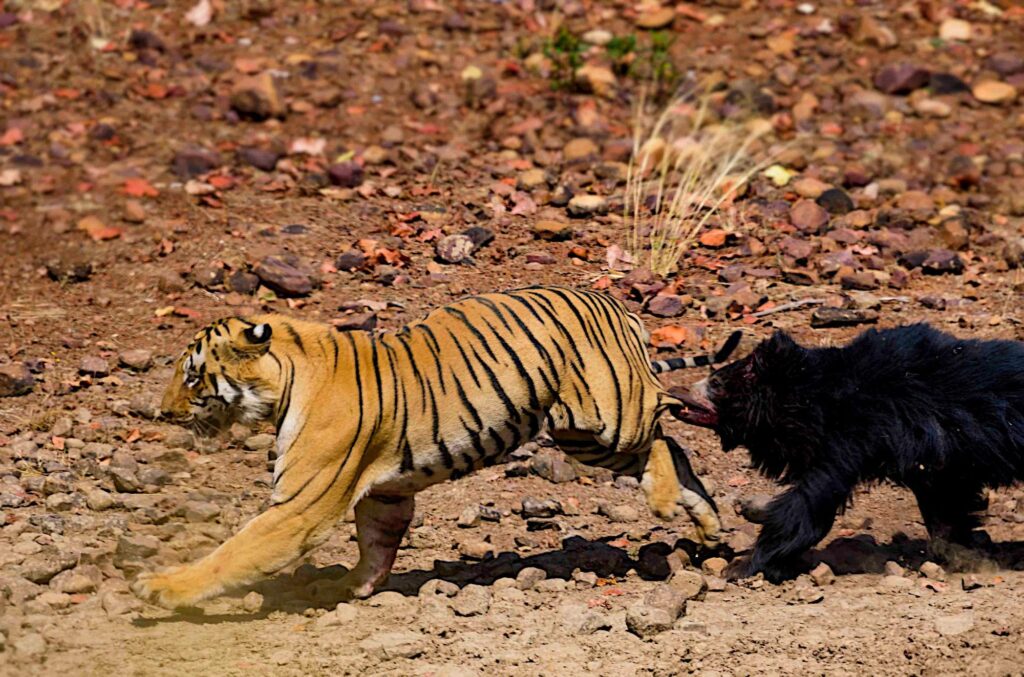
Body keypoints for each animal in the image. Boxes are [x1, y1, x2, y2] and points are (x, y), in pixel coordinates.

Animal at [132, 284, 741, 606]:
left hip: (608, 416)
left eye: (192, 377)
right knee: (674, 449)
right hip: (583, 436)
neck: (290, 379)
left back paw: (666, 502)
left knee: (663, 426)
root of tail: (613, 302)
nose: (161, 412)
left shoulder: (301, 506)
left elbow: (233, 551)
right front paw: (355, 587)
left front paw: (162, 586)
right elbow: (376, 544)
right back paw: (707, 526)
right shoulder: (385, 494)